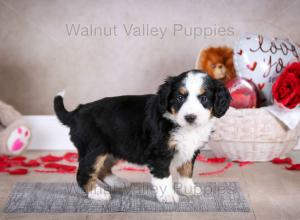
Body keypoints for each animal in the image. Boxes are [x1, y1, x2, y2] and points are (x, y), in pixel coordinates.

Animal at [53, 70, 230, 203]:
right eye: (180, 98)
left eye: (204, 98)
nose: (190, 117)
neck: (182, 126)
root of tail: (77, 112)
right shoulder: (159, 152)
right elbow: (164, 176)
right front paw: (168, 195)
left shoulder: (191, 149)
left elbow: (186, 170)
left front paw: (188, 188)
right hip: (95, 149)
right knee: (84, 173)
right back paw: (98, 194)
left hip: (115, 147)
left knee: (103, 168)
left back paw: (117, 182)